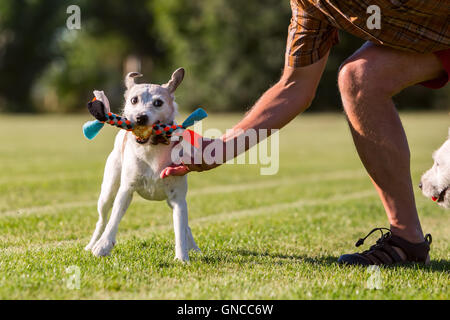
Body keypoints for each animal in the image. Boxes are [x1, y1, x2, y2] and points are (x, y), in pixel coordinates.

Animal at [85, 69, 200, 262]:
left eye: (158, 102)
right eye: (134, 100)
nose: (140, 117)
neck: (151, 147)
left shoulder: (178, 199)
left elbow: (180, 228)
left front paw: (182, 257)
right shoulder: (126, 190)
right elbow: (113, 220)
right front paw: (103, 245)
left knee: (185, 226)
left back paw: (194, 247)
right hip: (108, 191)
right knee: (102, 220)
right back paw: (92, 244)